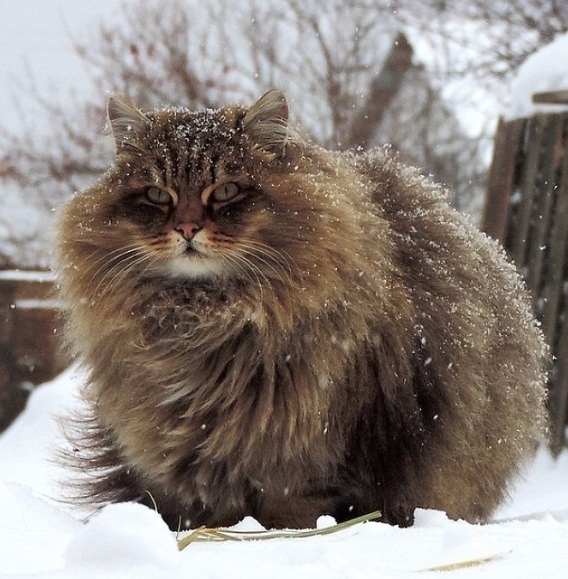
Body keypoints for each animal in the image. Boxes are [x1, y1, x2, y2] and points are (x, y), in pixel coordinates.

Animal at [55, 89, 548, 532]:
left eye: (227, 191)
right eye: (158, 195)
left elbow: (289, 510)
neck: (204, 321)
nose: (188, 228)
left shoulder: (310, 445)